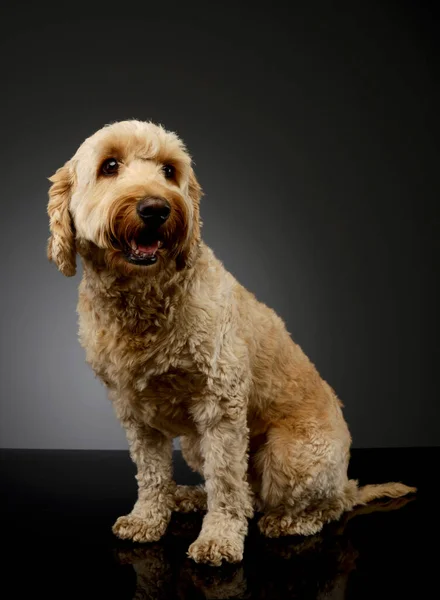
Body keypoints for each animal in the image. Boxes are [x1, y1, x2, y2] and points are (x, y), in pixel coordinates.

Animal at [48, 119, 416, 564]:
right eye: (110, 166)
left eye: (169, 171)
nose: (156, 208)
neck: (144, 299)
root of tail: (345, 478)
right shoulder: (133, 410)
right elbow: (152, 473)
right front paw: (147, 518)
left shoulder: (221, 404)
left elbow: (226, 481)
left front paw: (218, 539)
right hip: (196, 445)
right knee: (248, 493)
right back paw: (188, 497)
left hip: (291, 454)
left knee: (318, 503)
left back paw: (291, 521)